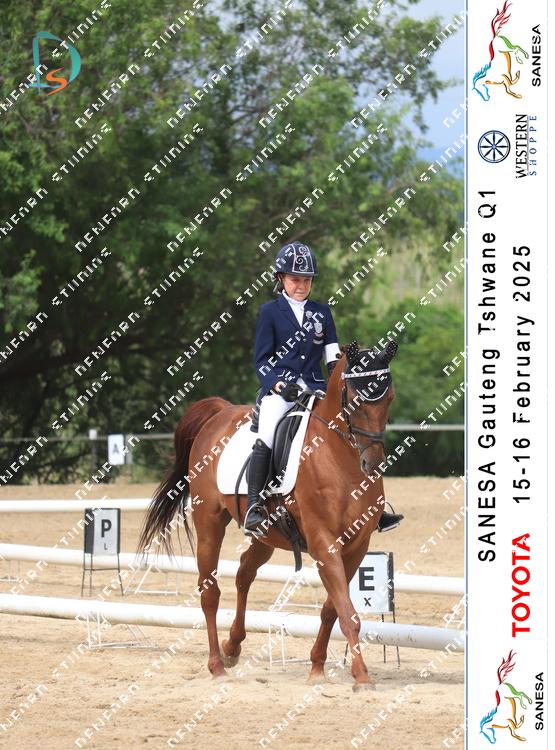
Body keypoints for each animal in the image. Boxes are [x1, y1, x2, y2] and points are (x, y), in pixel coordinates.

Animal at [138, 339, 398, 691]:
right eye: (355, 400)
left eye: (389, 398)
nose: (372, 464)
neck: (338, 459)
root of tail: (221, 411)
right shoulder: (324, 543)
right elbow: (347, 612)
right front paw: (361, 676)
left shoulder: (357, 546)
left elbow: (332, 609)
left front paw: (317, 666)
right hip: (209, 522)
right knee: (210, 591)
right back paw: (217, 665)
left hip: (267, 534)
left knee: (244, 572)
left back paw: (232, 647)